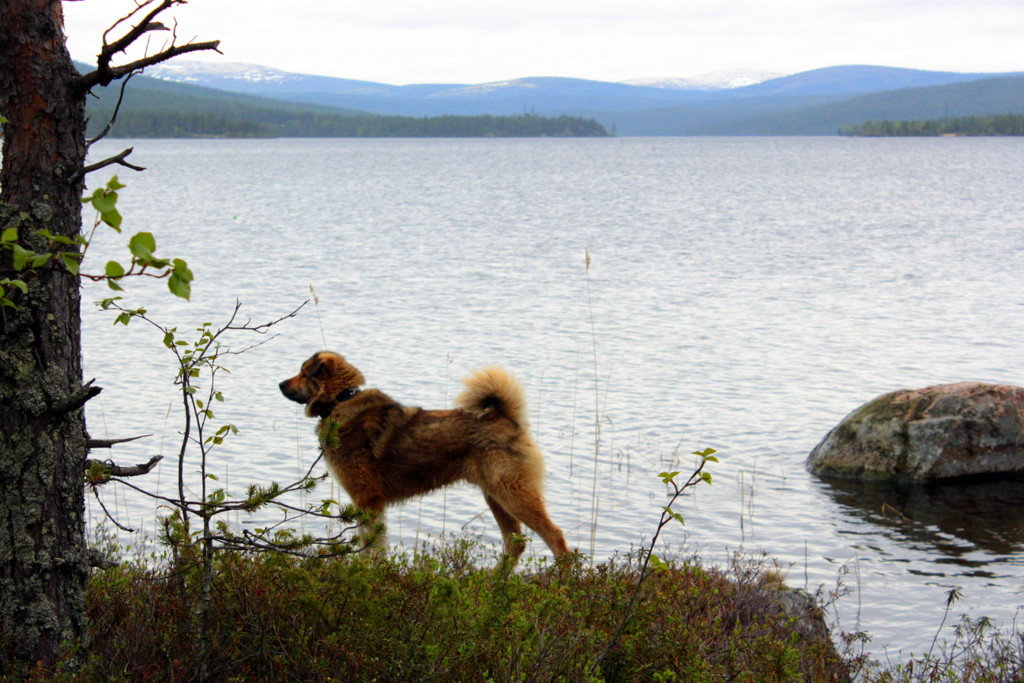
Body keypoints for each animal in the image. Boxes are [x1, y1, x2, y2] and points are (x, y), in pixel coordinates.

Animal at [278, 350, 569, 565]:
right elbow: (365, 544)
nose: (280, 383)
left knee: (555, 538)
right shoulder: (364, 502)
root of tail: (508, 419)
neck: (340, 400)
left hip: (513, 494)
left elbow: (373, 547)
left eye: (304, 373)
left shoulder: (368, 499)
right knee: (514, 544)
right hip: (496, 498)